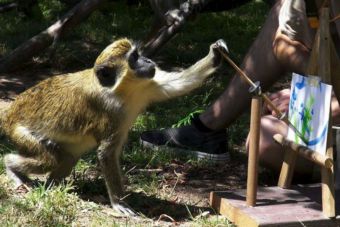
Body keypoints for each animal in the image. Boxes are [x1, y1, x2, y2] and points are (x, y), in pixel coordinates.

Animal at [1, 37, 228, 215]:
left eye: (138, 54)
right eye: (134, 58)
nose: (148, 60)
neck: (121, 89)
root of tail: (10, 113)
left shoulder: (147, 85)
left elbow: (179, 83)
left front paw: (215, 54)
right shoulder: (109, 110)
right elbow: (107, 153)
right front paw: (119, 203)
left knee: (66, 159)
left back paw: (51, 186)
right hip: (20, 132)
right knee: (50, 158)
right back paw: (11, 166)